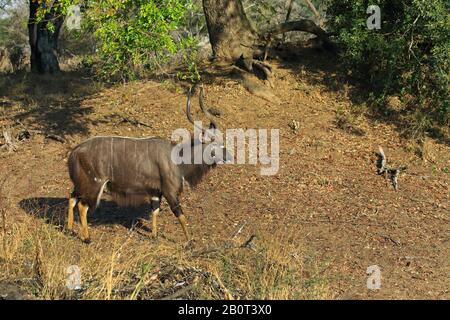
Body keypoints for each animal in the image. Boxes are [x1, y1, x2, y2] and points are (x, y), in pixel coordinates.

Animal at [68, 87, 234, 242]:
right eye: (215, 144)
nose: (230, 157)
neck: (177, 159)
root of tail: (75, 151)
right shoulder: (169, 192)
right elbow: (180, 215)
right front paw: (190, 241)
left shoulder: (156, 193)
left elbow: (155, 211)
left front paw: (154, 235)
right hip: (94, 185)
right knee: (82, 205)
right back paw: (87, 238)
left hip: (82, 184)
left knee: (72, 197)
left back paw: (69, 230)